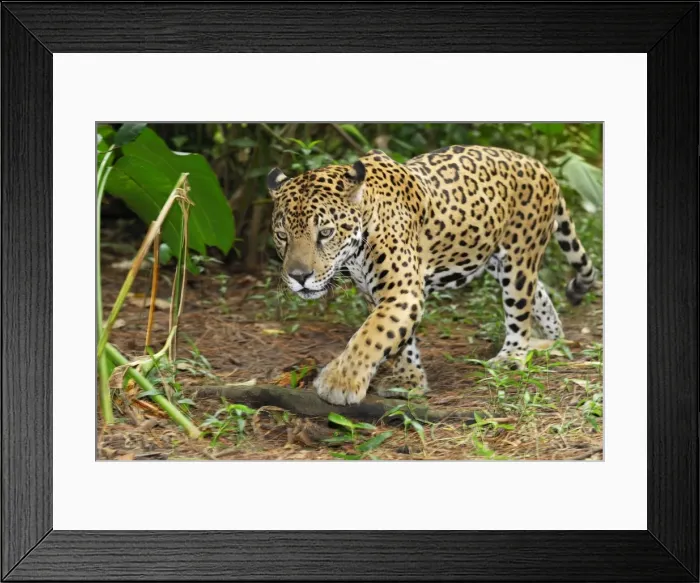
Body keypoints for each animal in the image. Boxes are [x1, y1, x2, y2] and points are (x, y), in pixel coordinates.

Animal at [267, 145, 597, 406]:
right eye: (282, 236)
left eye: (325, 233)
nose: (299, 276)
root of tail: (541, 166)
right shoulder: (381, 294)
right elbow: (399, 339)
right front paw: (409, 381)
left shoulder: (401, 291)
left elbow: (371, 334)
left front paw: (341, 381)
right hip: (498, 260)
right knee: (537, 294)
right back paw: (550, 343)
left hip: (518, 257)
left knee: (519, 308)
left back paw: (513, 356)